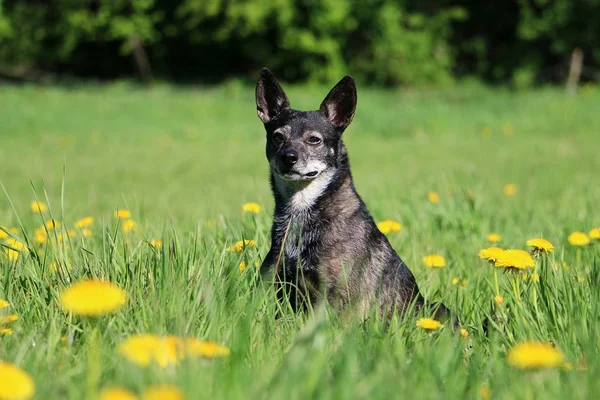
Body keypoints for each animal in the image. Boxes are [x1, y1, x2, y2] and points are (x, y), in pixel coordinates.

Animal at [254, 66, 450, 322]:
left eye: (314, 139)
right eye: (278, 136)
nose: (288, 157)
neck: (302, 211)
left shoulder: (336, 297)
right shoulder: (278, 284)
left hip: (438, 309)